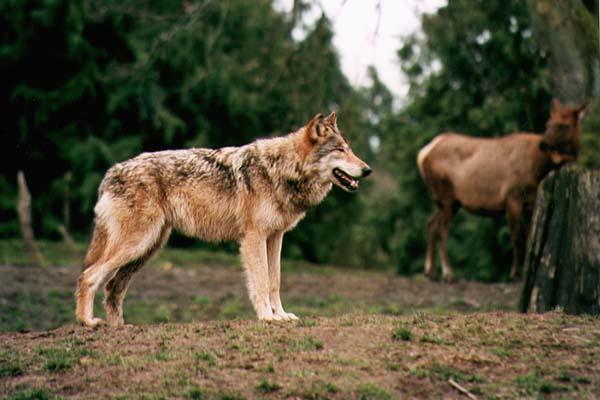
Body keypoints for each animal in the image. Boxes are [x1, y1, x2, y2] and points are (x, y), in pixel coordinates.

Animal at [75, 111, 370, 326]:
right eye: (340, 150)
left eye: (350, 149)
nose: (367, 170)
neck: (281, 169)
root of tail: (111, 172)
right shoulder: (253, 238)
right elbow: (261, 281)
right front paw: (267, 317)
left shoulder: (275, 237)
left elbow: (274, 281)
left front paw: (281, 315)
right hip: (137, 244)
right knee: (88, 276)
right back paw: (88, 322)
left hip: (147, 249)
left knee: (112, 288)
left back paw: (119, 328)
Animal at [418, 99, 592, 282]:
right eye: (548, 123)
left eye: (564, 125)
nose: (543, 144)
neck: (539, 170)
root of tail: (423, 153)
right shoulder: (513, 196)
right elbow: (517, 236)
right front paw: (515, 274)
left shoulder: (531, 202)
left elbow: (530, 237)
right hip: (445, 195)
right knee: (442, 230)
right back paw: (448, 273)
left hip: (450, 201)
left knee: (431, 223)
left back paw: (430, 272)